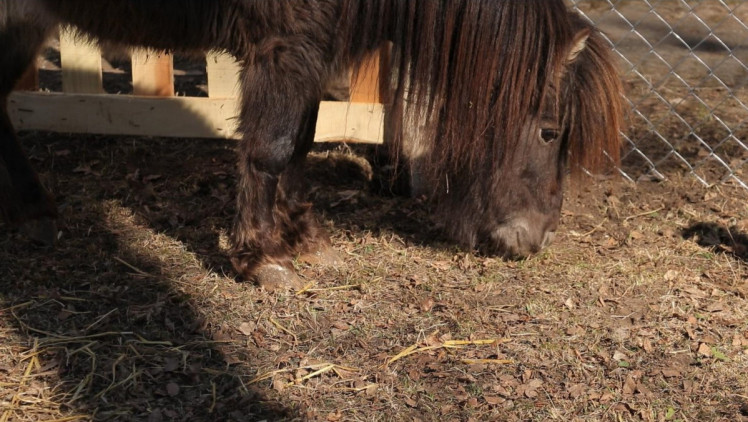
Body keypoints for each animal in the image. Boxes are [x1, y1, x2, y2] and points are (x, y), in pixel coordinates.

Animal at [0, 0, 624, 290]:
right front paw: (258, 259)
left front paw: (304, 239)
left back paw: (35, 214)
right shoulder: (284, 48)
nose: (538, 238)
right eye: (549, 132)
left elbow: (301, 141)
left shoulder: (308, 55)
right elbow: (272, 149)